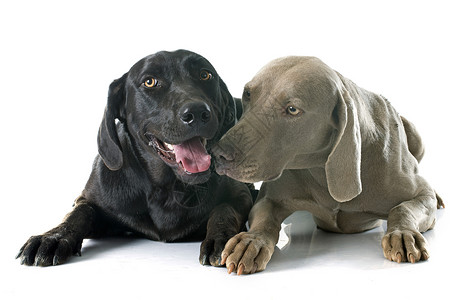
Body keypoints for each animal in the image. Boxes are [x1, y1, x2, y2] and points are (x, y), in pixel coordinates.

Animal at [213, 55, 444, 274]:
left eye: (292, 109)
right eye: (247, 93)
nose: (218, 154)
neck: (321, 169)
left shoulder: (419, 193)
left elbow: (404, 207)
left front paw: (403, 234)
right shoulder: (269, 199)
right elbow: (264, 218)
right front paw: (250, 241)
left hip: (415, 135)